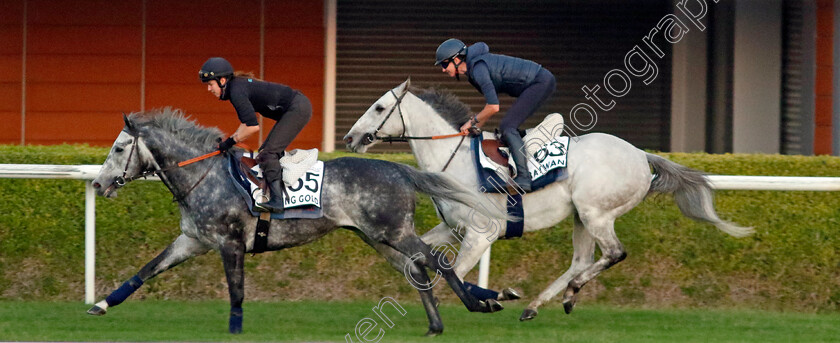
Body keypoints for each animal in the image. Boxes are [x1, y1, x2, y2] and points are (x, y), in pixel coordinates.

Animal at [85, 109, 506, 338]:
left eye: (119, 148)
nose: (99, 183)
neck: (203, 176)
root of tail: (399, 170)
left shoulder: (230, 243)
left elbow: (236, 291)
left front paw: (235, 330)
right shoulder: (193, 240)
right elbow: (146, 270)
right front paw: (101, 305)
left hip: (394, 232)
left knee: (438, 261)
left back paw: (478, 305)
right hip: (379, 238)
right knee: (417, 269)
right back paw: (436, 325)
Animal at [344, 80, 752, 322]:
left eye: (379, 107)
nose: (350, 138)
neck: (453, 158)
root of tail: (641, 155)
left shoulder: (481, 234)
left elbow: (453, 273)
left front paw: (490, 299)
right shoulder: (452, 229)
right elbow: (418, 260)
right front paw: (497, 297)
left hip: (596, 213)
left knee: (613, 253)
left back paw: (568, 294)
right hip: (581, 217)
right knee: (582, 260)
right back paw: (540, 304)